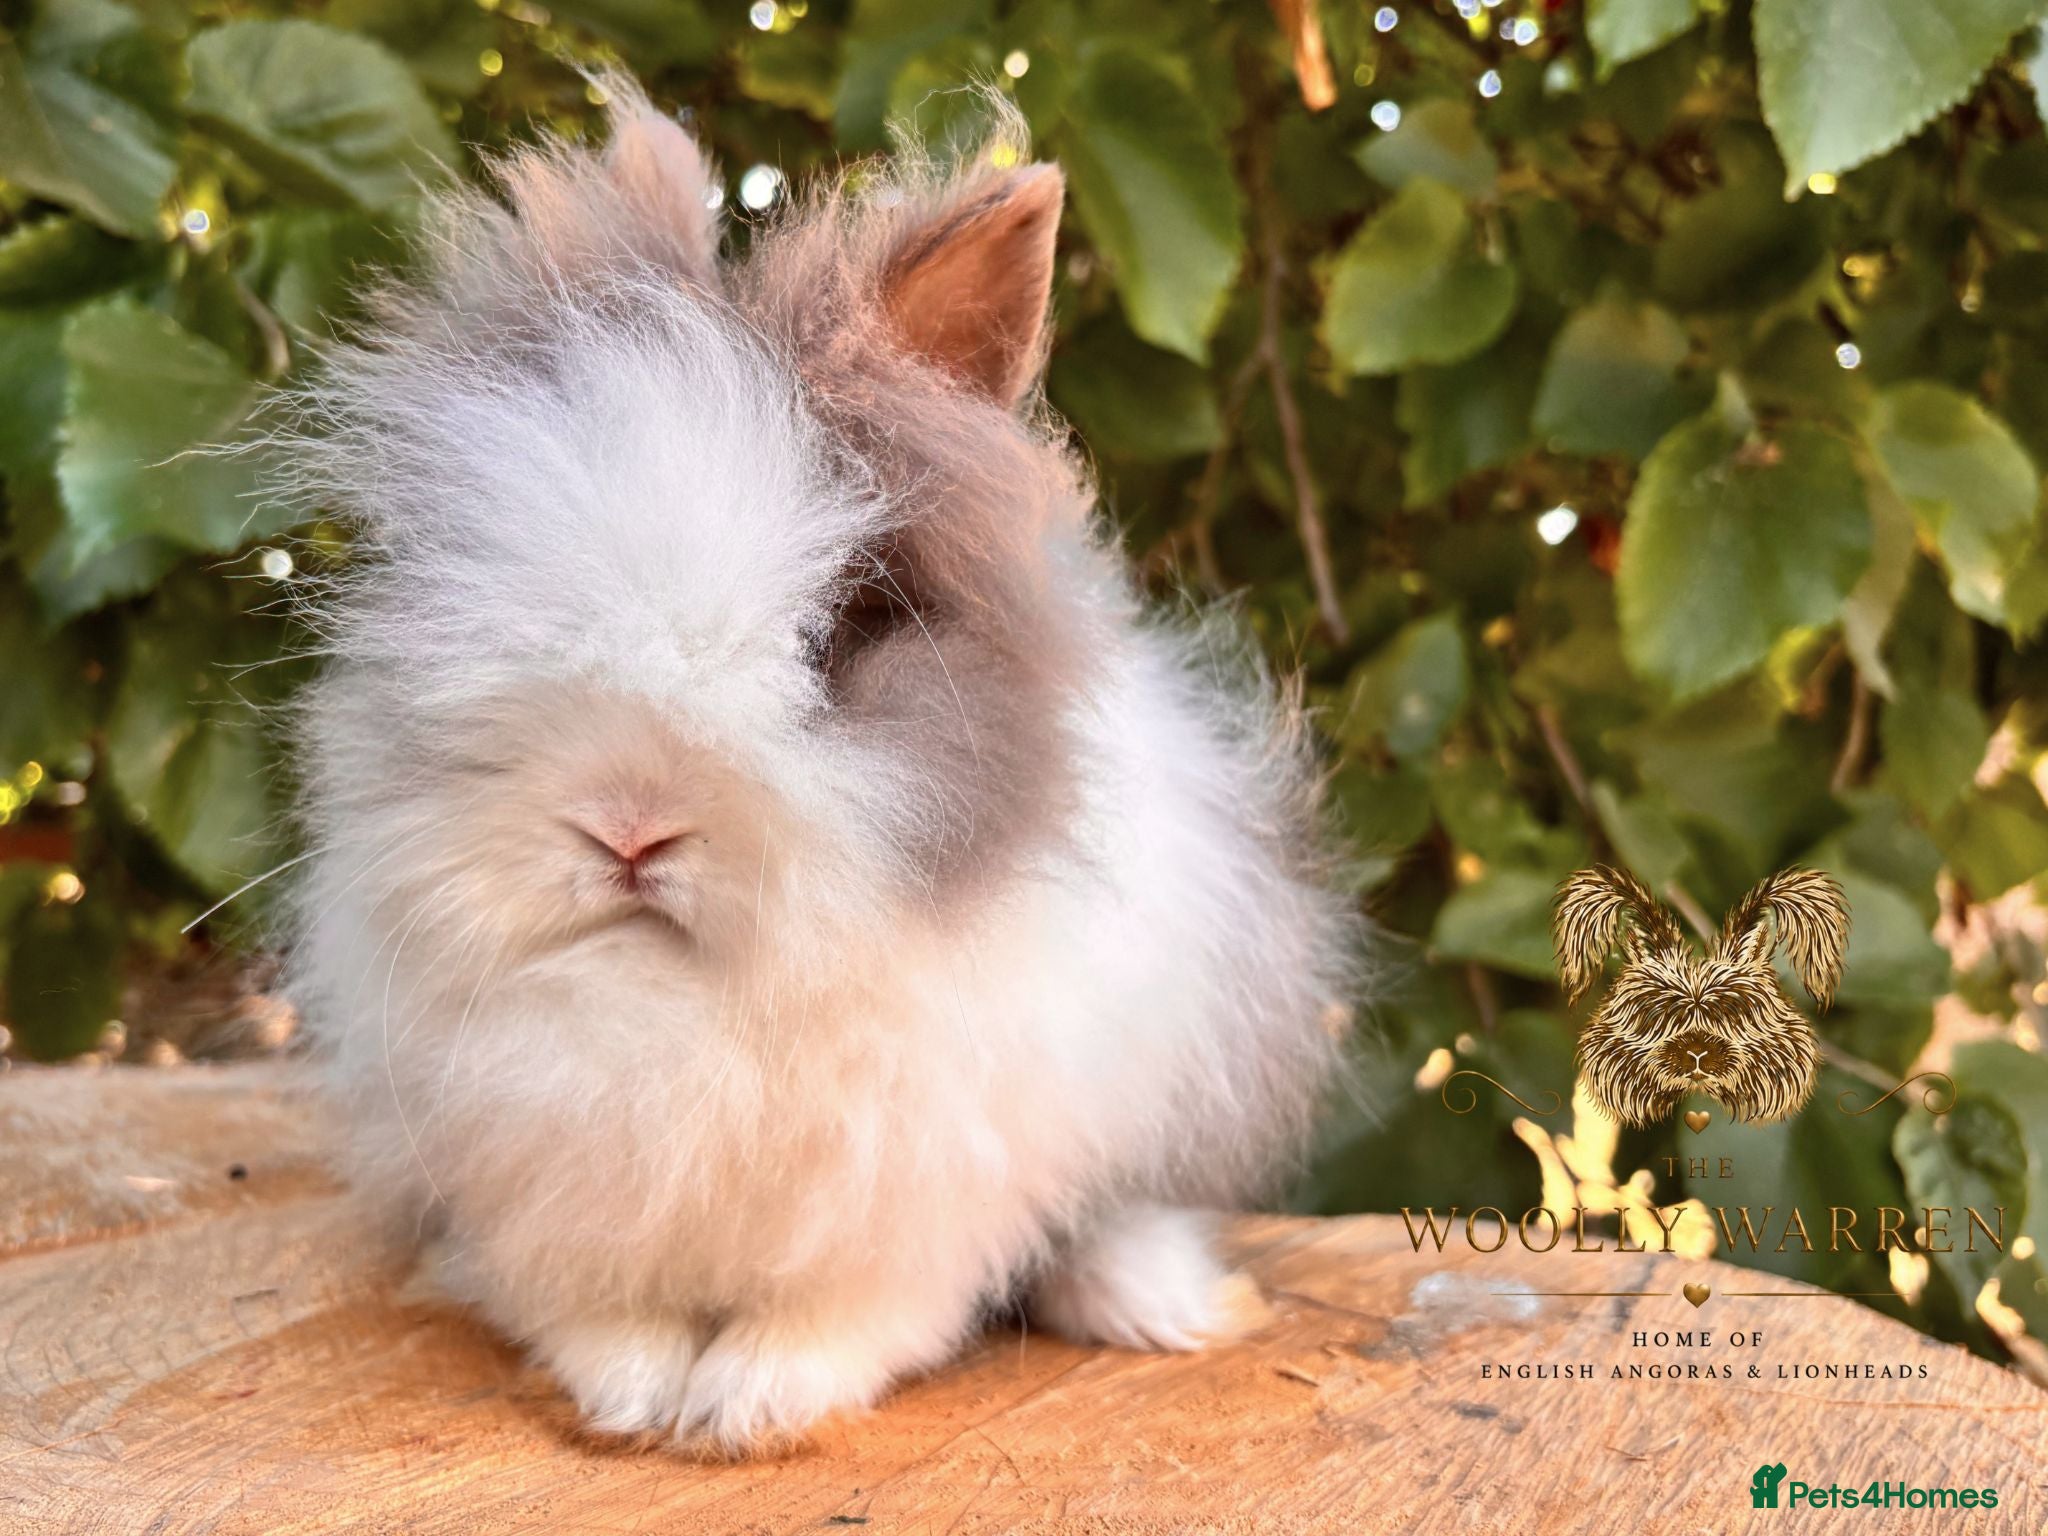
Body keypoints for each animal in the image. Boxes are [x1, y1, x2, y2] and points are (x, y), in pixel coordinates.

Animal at [276, 79, 1361, 1453]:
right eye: (468, 580)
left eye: (844, 625)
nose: (628, 826)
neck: (680, 1011)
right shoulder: (524, 1182)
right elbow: (584, 1301)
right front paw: (631, 1391)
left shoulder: (930, 1184)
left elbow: (857, 1307)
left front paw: (749, 1403)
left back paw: (1153, 1304)